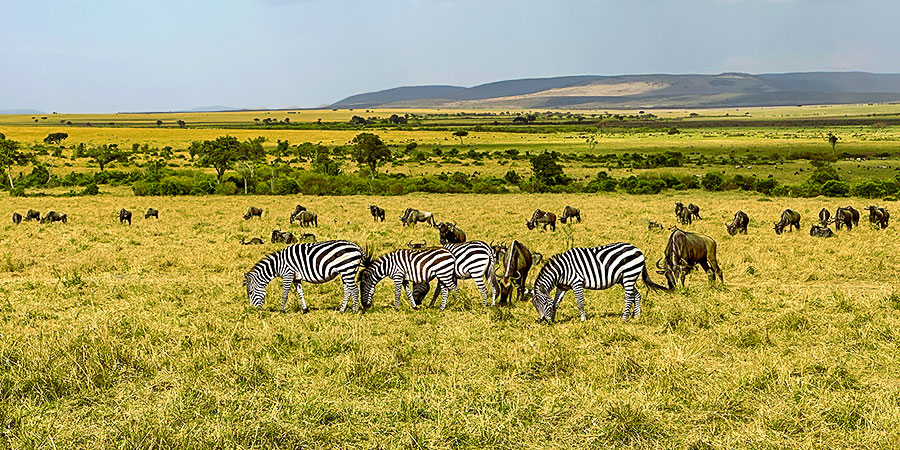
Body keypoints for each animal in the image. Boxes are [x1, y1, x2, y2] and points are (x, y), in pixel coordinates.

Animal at [532, 243, 672, 324]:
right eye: (534, 305)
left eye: (543, 303)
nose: (543, 321)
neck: (562, 270)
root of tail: (638, 249)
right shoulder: (562, 286)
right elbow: (556, 303)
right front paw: (553, 319)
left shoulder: (577, 282)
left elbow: (580, 302)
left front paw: (583, 319)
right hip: (625, 278)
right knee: (636, 295)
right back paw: (636, 316)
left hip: (629, 274)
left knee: (629, 297)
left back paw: (624, 318)